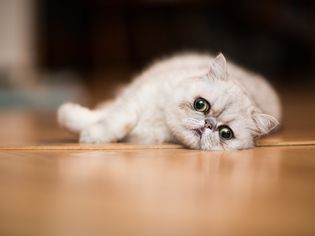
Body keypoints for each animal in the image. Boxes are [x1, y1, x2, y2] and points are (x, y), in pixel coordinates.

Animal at [57, 52, 282, 150]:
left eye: (225, 133)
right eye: (200, 104)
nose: (207, 124)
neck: (162, 122)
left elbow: (114, 121)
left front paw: (89, 134)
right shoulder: (137, 99)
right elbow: (116, 120)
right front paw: (74, 121)